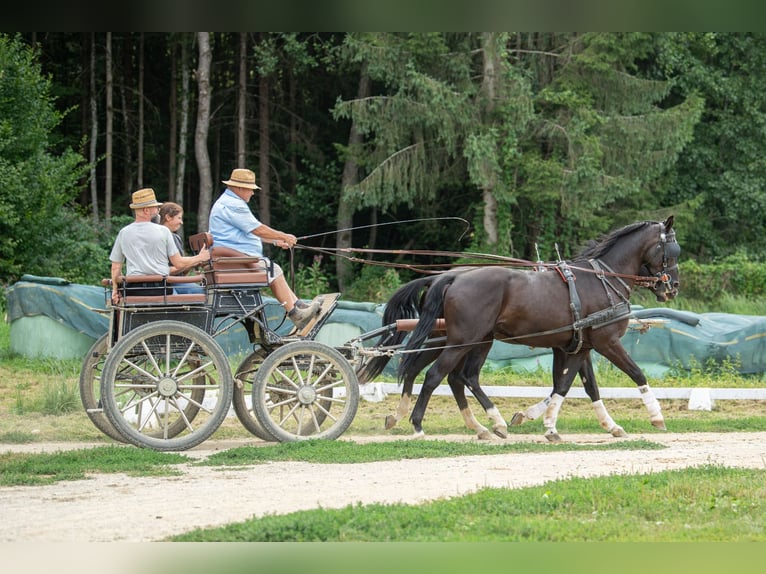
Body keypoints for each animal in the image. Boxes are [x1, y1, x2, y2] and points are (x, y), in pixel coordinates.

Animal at [386, 216, 680, 438]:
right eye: (672, 251)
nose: (672, 288)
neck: (602, 279)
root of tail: (452, 277)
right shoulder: (606, 342)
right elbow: (636, 373)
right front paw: (656, 417)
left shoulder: (578, 347)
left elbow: (574, 386)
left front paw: (601, 425)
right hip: (462, 341)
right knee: (436, 375)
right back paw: (418, 424)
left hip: (473, 340)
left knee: (456, 377)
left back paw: (485, 425)